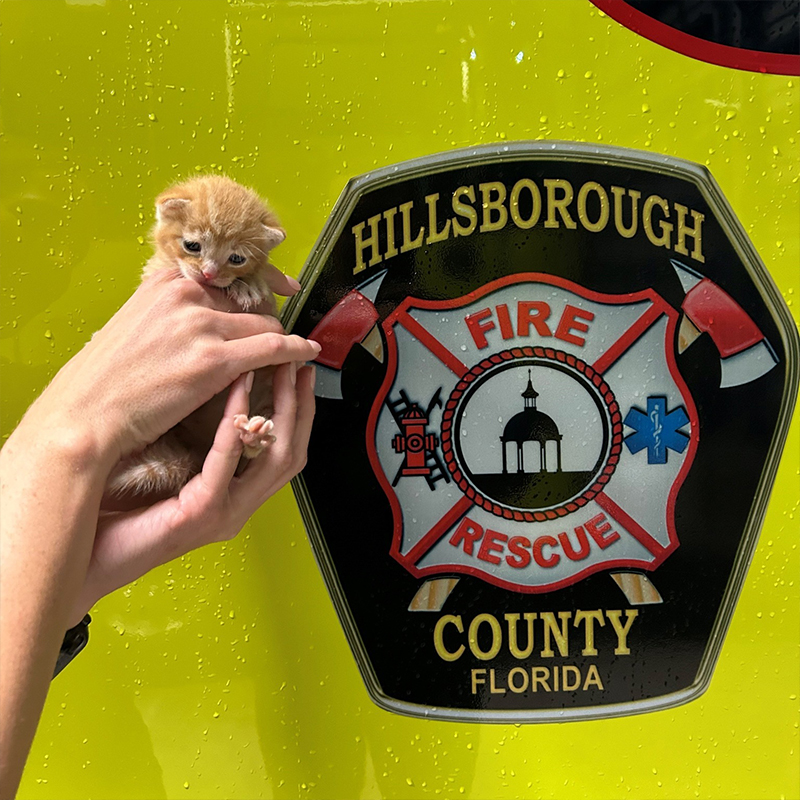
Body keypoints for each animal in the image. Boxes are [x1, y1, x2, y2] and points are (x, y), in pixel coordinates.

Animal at [106, 177, 288, 500]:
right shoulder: (154, 275)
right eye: (192, 246)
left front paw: (248, 284)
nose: (208, 273)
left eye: (236, 258)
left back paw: (252, 436)